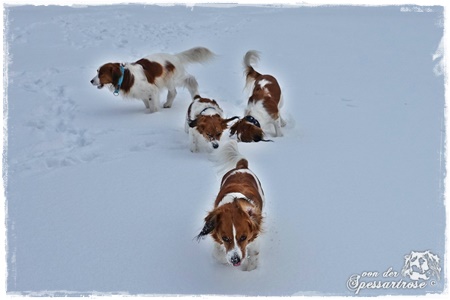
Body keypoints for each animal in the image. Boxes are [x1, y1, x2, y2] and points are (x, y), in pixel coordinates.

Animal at [196, 141, 264, 272]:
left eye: (243, 237)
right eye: (225, 238)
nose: (235, 259)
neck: (234, 205)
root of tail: (241, 167)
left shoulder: (254, 241)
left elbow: (253, 260)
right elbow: (219, 255)